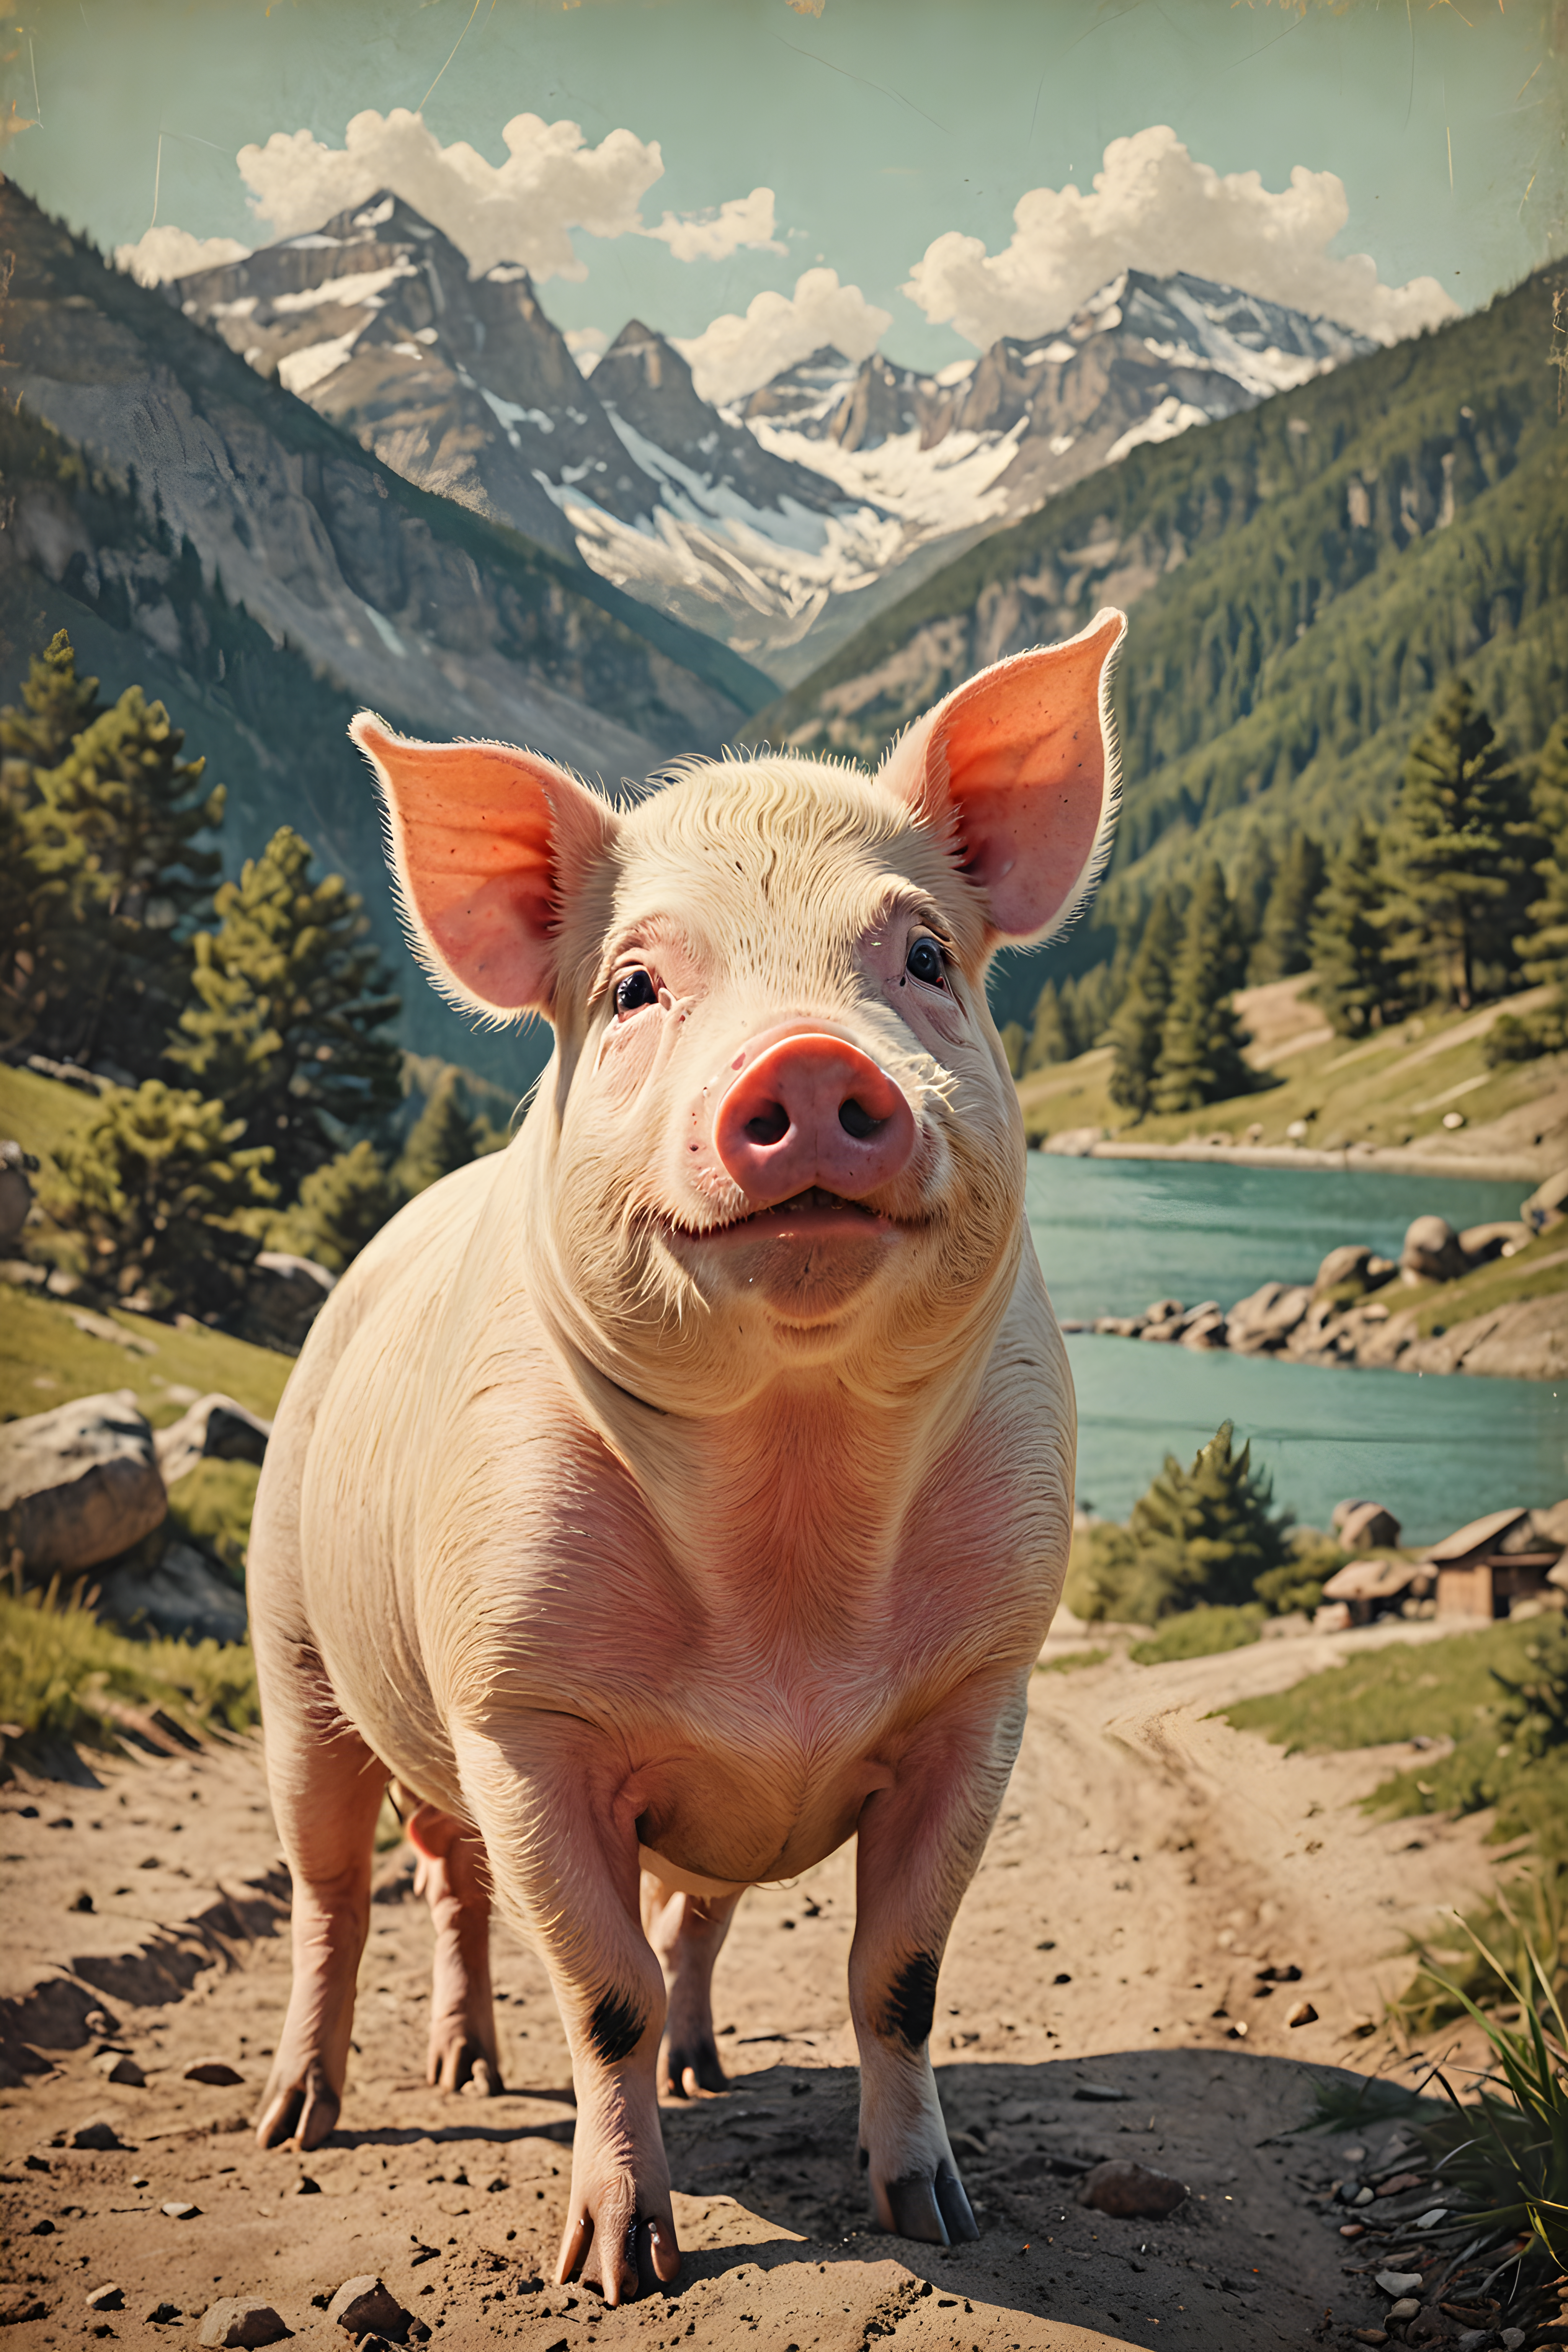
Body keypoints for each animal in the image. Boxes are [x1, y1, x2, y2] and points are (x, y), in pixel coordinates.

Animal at [246, 607, 1126, 2305]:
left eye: (924, 957)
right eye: (638, 985)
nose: (806, 1063)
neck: (784, 1527)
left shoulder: (982, 1690)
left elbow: (896, 1974)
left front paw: (937, 2217)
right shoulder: (517, 1703)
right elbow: (602, 1994)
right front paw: (617, 2268)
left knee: (586, 1904)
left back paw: (633, 2070)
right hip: (297, 1645)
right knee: (341, 1891)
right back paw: (307, 2121)